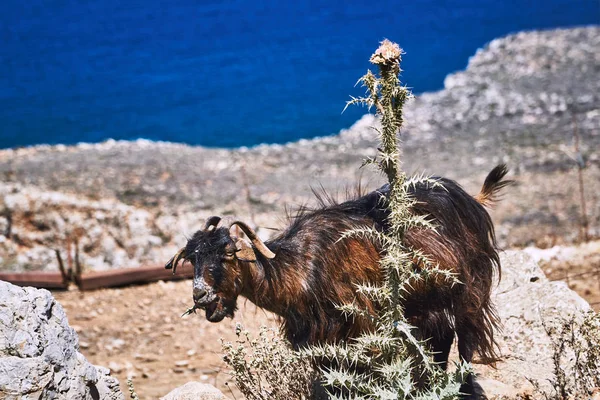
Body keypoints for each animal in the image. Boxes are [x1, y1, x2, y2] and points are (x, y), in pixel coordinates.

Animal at [166, 164, 512, 398]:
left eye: (228, 253)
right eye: (191, 259)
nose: (201, 297)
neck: (303, 268)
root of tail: (471, 199)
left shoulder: (361, 327)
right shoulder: (318, 338)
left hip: (471, 291)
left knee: (466, 343)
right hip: (428, 306)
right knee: (442, 340)